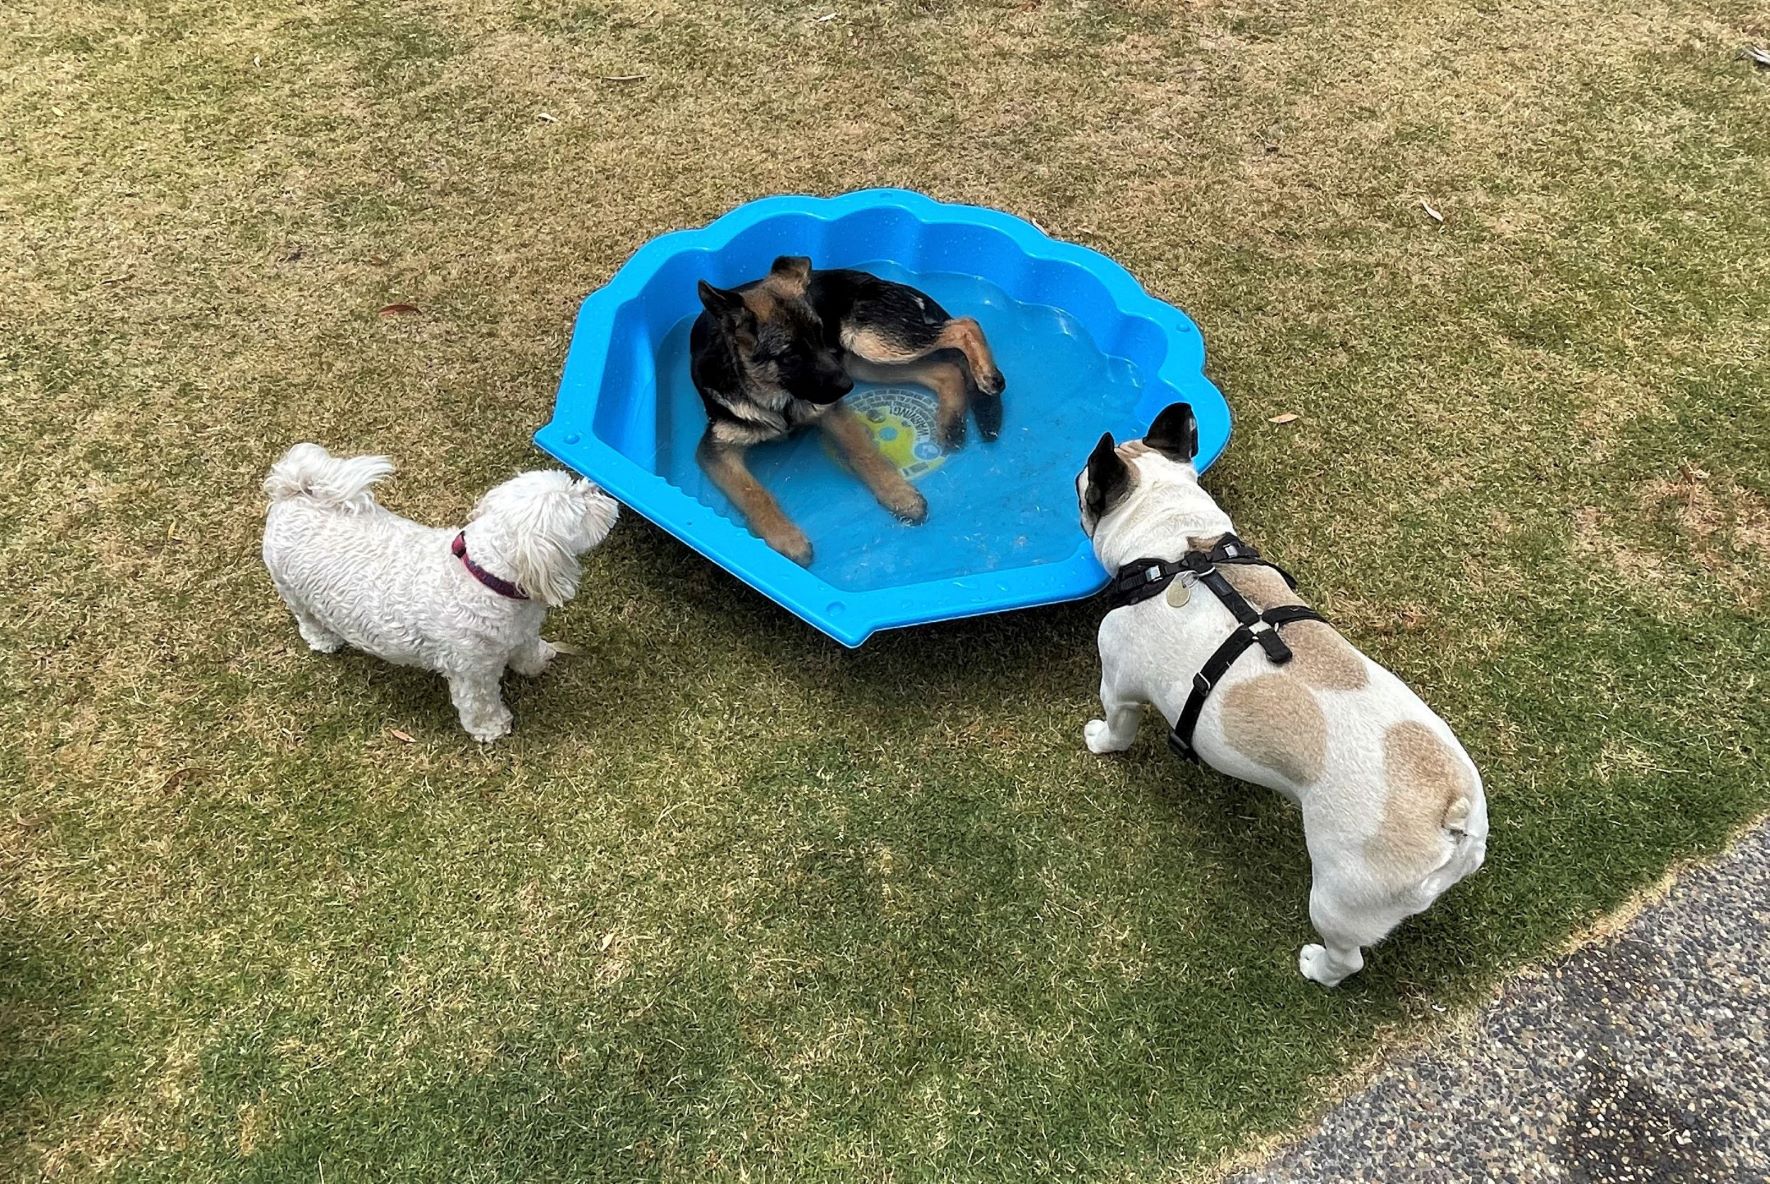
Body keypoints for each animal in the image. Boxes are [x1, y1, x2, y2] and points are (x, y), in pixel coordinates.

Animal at [258, 442, 623, 739]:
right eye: (580, 507)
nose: (599, 488)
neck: (483, 575)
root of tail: (295, 491)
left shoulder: (521, 633)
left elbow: (528, 650)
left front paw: (538, 661)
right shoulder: (473, 672)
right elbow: (479, 703)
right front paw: (492, 728)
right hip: (291, 589)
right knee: (308, 619)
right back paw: (324, 640)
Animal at [686, 253, 1005, 562]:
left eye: (819, 333)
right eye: (790, 355)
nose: (846, 387)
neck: (778, 398)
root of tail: (882, 282)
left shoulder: (831, 410)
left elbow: (864, 452)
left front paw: (899, 494)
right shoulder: (716, 450)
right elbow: (753, 493)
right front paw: (786, 537)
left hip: (868, 343)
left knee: (965, 324)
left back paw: (988, 376)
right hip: (861, 362)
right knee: (946, 371)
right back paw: (951, 423)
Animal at [1069, 401, 1486, 984]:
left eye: (1083, 482)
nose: (1070, 484)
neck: (1178, 548)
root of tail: (1451, 811)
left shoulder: (1117, 682)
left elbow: (1116, 725)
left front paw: (1099, 741)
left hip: (1339, 897)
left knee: (1347, 956)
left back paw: (1317, 967)